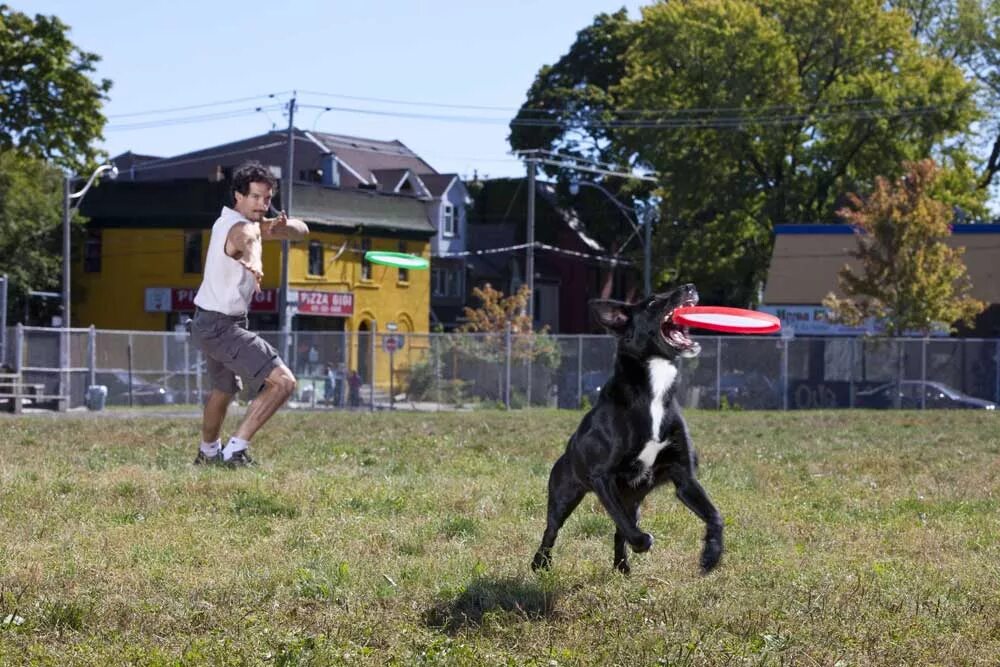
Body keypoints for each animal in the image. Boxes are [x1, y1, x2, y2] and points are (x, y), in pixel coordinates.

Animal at [536, 284, 724, 576]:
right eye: (652, 302)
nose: (690, 287)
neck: (653, 392)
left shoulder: (684, 476)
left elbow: (715, 515)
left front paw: (711, 556)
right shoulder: (602, 477)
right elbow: (628, 528)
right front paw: (644, 542)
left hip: (632, 501)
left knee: (619, 530)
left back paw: (622, 567)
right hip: (563, 495)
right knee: (551, 530)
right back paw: (540, 564)